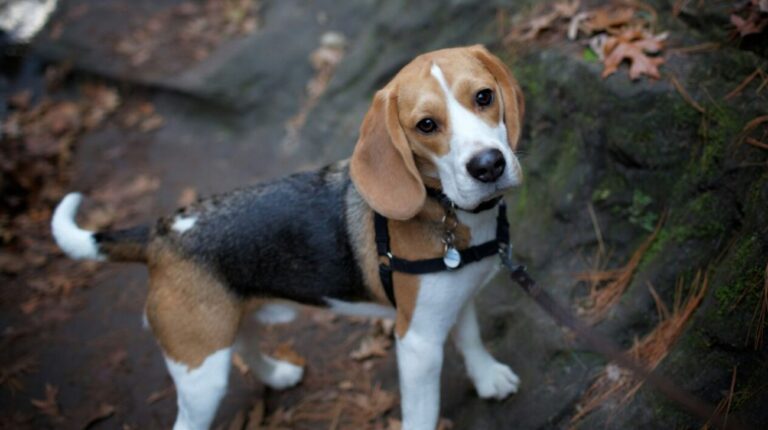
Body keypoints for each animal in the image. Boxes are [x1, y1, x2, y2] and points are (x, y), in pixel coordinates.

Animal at [51, 46, 524, 430]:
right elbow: (423, 411)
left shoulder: (455, 299)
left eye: (484, 96)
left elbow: (471, 338)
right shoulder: (418, 342)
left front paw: (487, 377)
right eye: (426, 125)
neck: (445, 208)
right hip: (201, 373)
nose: (488, 165)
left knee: (245, 343)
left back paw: (277, 374)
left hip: (229, 322)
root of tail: (161, 232)